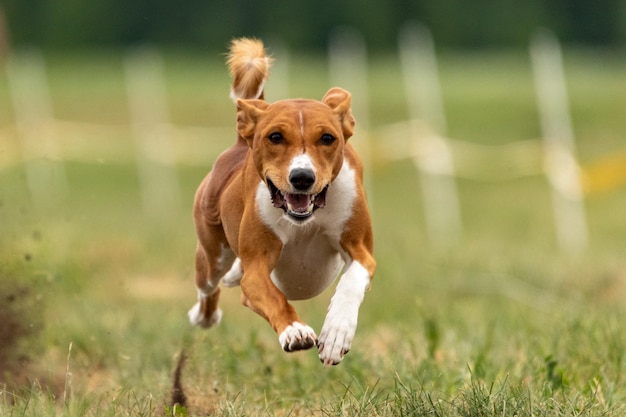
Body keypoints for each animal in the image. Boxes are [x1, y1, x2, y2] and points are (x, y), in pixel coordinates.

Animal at [188, 38, 376, 364]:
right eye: (275, 137)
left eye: (328, 138)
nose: (302, 177)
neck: (306, 220)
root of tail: (240, 143)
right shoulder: (257, 265)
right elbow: (273, 296)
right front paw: (295, 331)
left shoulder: (360, 248)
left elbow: (351, 283)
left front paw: (336, 334)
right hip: (213, 255)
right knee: (210, 286)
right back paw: (204, 315)